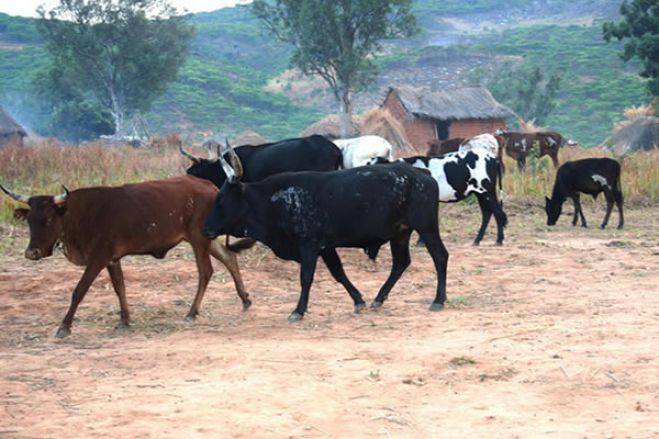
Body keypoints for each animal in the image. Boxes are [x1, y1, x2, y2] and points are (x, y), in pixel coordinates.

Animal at [0, 177, 253, 338]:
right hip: (205, 238)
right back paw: (245, 299)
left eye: (48, 220)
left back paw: (192, 312)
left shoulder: (99, 258)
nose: (31, 253)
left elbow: (79, 290)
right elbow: (119, 287)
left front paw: (64, 326)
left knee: (205, 272)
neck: (79, 215)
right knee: (229, 257)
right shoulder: (112, 259)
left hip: (198, 238)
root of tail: (209, 186)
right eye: (30, 220)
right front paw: (124, 320)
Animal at [204, 146, 452, 322]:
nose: (206, 229)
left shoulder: (309, 245)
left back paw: (438, 300)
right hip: (400, 233)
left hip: (426, 227)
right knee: (401, 263)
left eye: (222, 199)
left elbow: (306, 278)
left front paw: (298, 310)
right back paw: (378, 299)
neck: (272, 200)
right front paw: (358, 300)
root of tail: (422, 173)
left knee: (440, 256)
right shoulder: (326, 248)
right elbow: (339, 273)